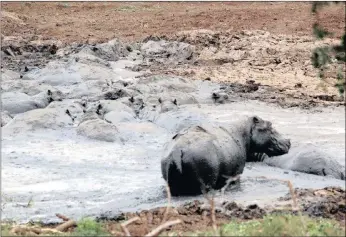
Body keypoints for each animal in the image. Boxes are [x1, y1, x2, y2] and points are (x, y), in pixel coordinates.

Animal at [161, 115, 290, 195]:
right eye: (270, 126)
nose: (288, 141)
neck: (244, 133)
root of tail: (177, 151)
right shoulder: (236, 173)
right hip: (206, 181)